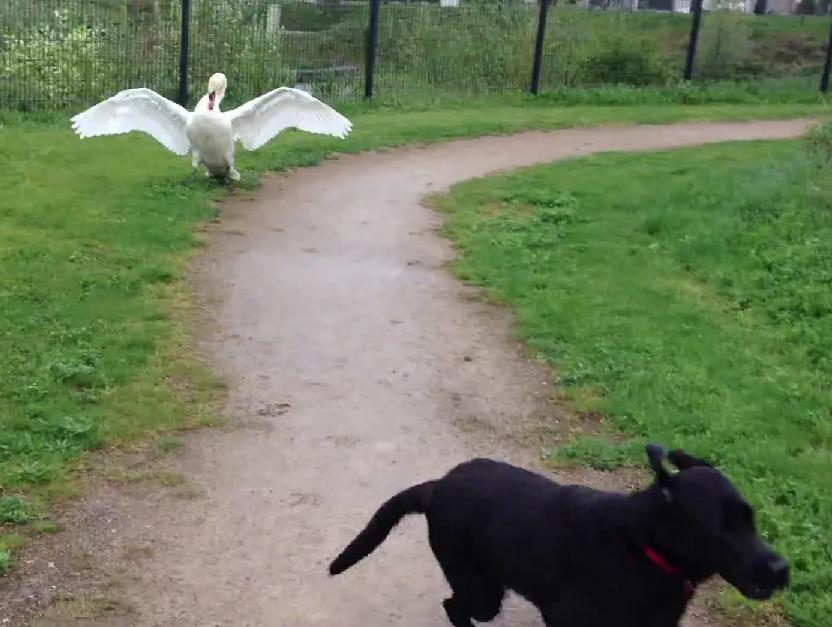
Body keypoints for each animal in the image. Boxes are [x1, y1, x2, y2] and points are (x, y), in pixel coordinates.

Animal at [330, 444, 788, 624]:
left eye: (751, 520)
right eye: (720, 531)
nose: (782, 569)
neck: (643, 547)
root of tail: (436, 487)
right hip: (481, 590)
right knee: (454, 607)